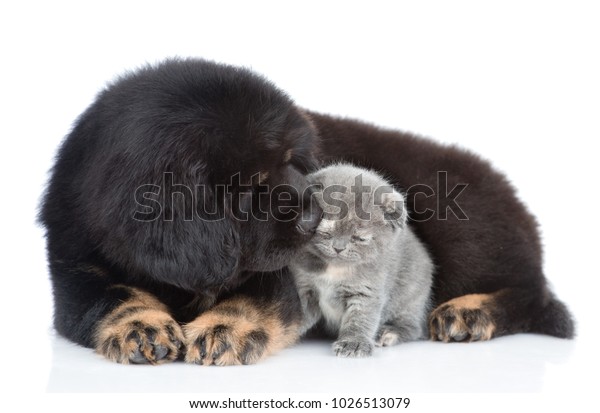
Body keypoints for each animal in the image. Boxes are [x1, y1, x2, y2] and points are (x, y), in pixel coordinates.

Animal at [290, 163, 434, 356]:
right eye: (325, 230)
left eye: (360, 238)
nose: (338, 248)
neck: (335, 269)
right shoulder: (305, 287)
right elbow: (295, 315)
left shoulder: (367, 291)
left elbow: (360, 319)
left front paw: (353, 343)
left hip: (410, 298)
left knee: (414, 327)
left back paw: (389, 332)